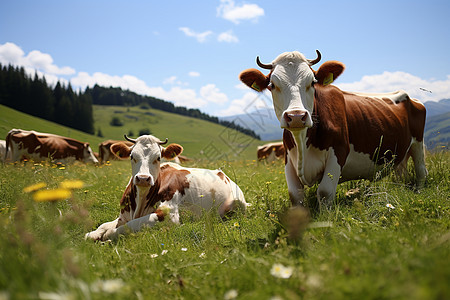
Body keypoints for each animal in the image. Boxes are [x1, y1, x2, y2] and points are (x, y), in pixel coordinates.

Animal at [84, 135, 246, 240]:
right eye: (132, 156)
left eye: (158, 157)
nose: (143, 178)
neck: (140, 201)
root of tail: (222, 173)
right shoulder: (123, 215)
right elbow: (102, 227)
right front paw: (94, 233)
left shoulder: (169, 214)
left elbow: (123, 228)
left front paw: (107, 236)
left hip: (238, 205)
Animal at [237, 50, 428, 207]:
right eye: (272, 85)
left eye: (312, 82)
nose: (296, 116)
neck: (303, 143)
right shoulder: (288, 159)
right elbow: (295, 196)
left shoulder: (339, 152)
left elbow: (324, 192)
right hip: (400, 153)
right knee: (401, 173)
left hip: (418, 143)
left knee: (421, 171)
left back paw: (419, 192)